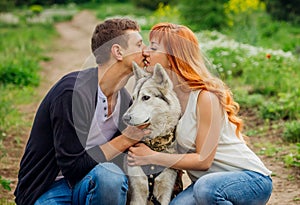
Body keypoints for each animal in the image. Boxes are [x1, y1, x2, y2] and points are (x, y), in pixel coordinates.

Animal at [122, 62, 180, 205]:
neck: (153, 144)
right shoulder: (137, 193)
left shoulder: (165, 191)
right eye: (133, 98)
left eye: (146, 97)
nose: (125, 118)